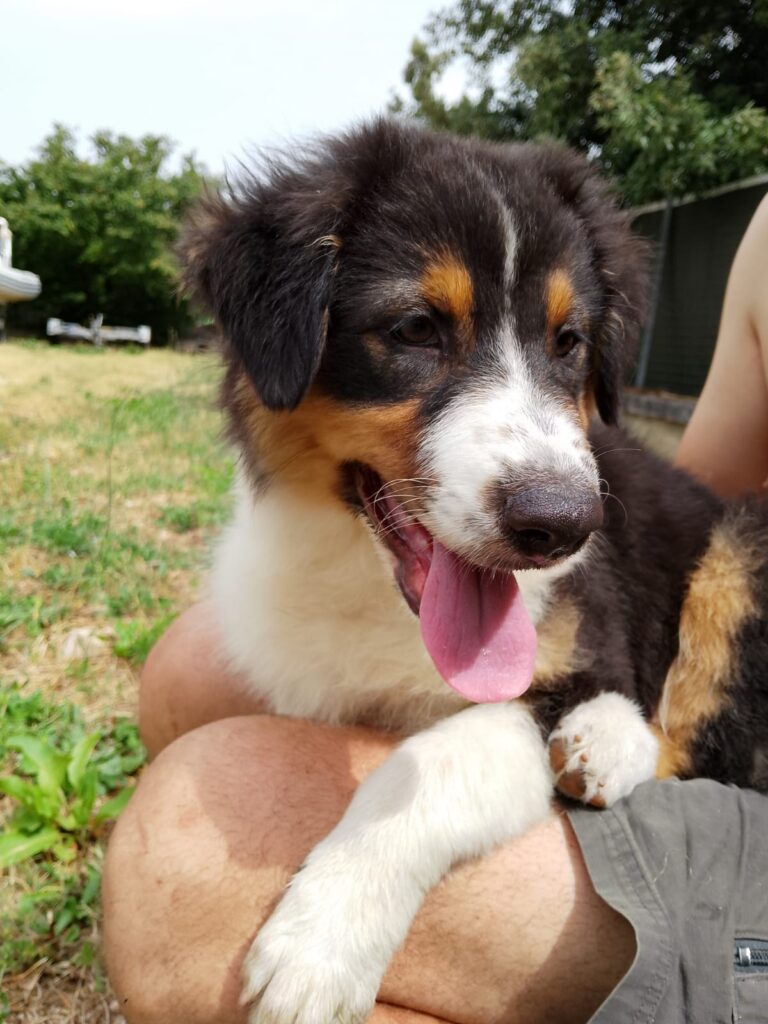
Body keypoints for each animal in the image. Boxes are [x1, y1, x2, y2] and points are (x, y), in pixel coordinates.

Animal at [183, 119, 768, 1024]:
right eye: (416, 329)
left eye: (568, 343)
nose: (562, 526)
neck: (372, 589)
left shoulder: (586, 646)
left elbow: (434, 762)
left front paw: (323, 941)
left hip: (740, 549)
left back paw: (606, 743)